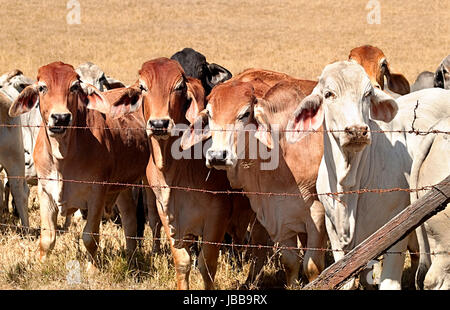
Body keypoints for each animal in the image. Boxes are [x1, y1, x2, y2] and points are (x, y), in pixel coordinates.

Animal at [7, 61, 150, 270]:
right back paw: (131, 257)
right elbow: (47, 237)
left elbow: (90, 237)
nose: (60, 118)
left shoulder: (97, 194)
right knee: (130, 218)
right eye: (42, 87)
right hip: (122, 187)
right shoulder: (45, 190)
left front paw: (92, 269)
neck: (63, 157)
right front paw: (41, 265)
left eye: (74, 86)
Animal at [181, 78, 328, 286]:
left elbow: (313, 266)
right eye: (209, 114)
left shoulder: (317, 213)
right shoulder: (281, 214)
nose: (217, 156)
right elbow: (290, 262)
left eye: (245, 114)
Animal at [286, 60, 450, 288]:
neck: (349, 185)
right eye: (328, 94)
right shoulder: (335, 235)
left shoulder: (396, 231)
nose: (357, 130)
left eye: (367, 94)